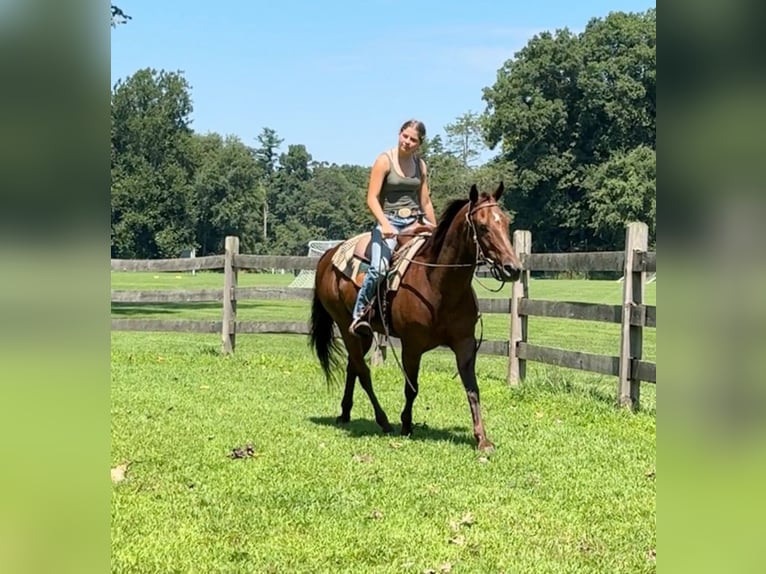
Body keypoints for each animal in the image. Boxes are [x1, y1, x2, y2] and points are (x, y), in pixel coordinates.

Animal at [308, 182, 524, 452]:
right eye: (483, 226)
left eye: (505, 223)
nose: (513, 268)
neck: (438, 284)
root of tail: (329, 255)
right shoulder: (412, 345)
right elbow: (411, 387)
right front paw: (406, 425)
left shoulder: (464, 343)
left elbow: (472, 389)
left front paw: (482, 439)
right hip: (344, 323)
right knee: (363, 371)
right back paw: (383, 421)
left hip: (363, 334)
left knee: (353, 367)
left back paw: (345, 413)